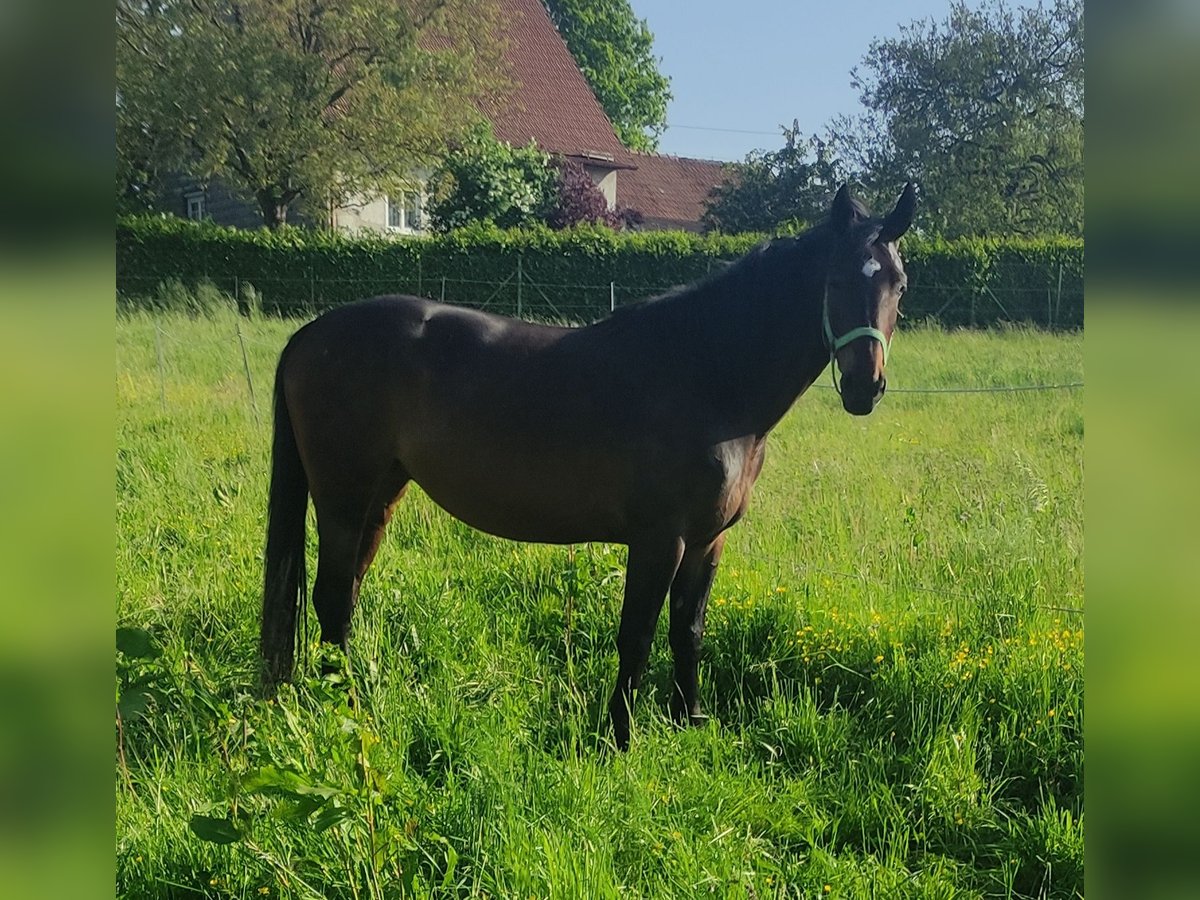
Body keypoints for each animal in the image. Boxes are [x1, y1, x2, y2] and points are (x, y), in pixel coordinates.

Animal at [265, 181, 916, 748]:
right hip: (344, 500)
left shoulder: (709, 542)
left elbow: (688, 631)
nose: (865, 387)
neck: (705, 375)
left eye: (899, 284)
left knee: (345, 599)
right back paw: (347, 710)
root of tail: (310, 333)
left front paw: (689, 721)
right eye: (836, 279)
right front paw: (621, 738)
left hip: (380, 497)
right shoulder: (659, 540)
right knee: (330, 598)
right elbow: (637, 637)